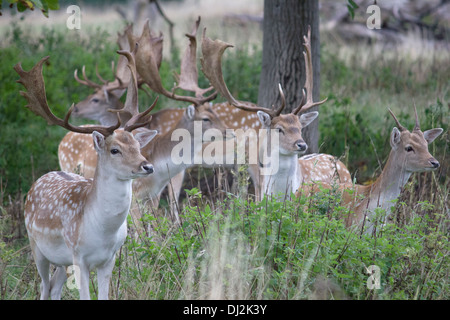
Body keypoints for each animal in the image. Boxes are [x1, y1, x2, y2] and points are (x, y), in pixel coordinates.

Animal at [15, 47, 159, 300]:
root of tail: (41, 178)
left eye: (137, 146)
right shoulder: (78, 257)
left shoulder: (110, 259)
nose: (147, 166)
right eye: (114, 150)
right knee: (43, 287)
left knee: (55, 287)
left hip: (61, 261)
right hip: (37, 246)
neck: (102, 232)